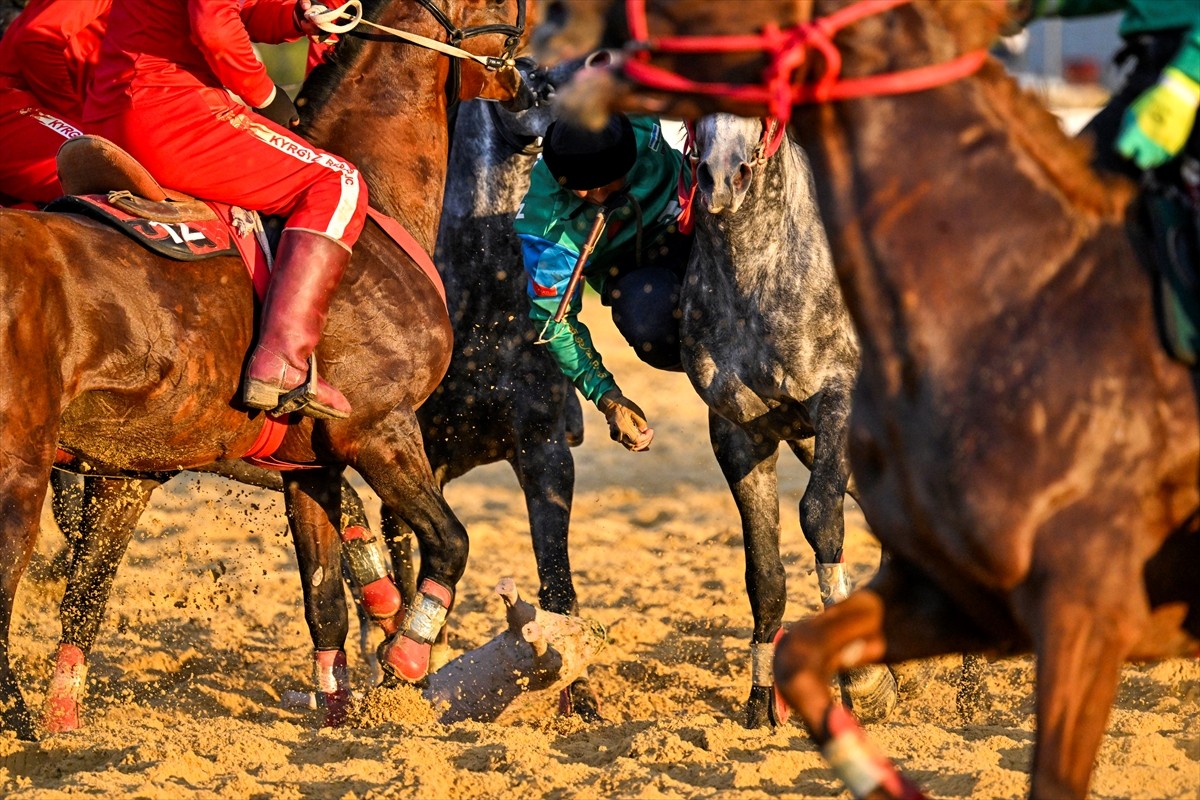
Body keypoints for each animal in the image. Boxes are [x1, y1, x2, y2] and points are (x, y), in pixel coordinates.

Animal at [0, 0, 530, 743]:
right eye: (511, 11)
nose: (531, 85)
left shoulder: (297, 468)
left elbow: (322, 600)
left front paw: (342, 711)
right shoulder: (381, 433)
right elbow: (450, 543)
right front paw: (405, 657)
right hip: (19, 473)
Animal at [537, 1, 1200, 800]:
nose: (721, 177)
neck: (765, 276)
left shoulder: (839, 403)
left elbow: (820, 519)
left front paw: (872, 685)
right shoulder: (738, 431)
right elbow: (765, 571)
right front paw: (762, 700)